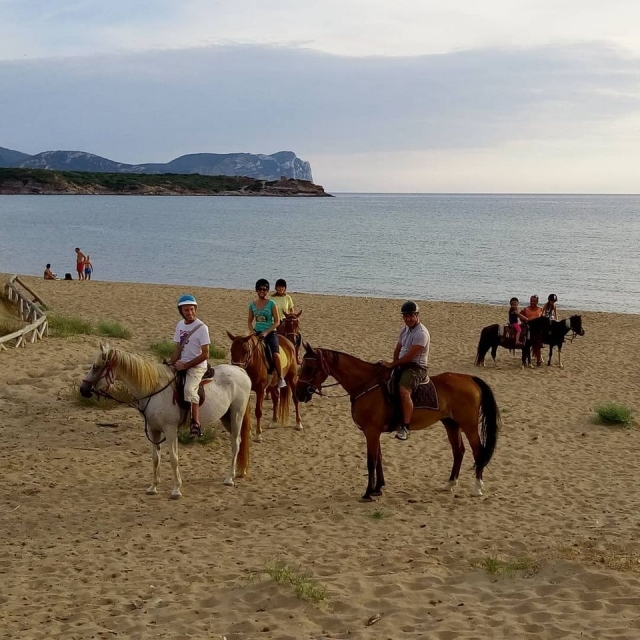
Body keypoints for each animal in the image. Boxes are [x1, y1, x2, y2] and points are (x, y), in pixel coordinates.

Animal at [80, 343, 252, 498]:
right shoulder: (153, 430)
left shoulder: (170, 430)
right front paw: (153, 487)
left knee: (236, 443)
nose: (83, 390)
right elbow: (156, 457)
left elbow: (173, 458)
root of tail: (240, 370)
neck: (153, 389)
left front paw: (176, 489)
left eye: (96, 367)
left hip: (236, 415)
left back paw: (229, 478)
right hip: (226, 418)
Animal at [296, 344, 500, 501]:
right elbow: (378, 459)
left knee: (478, 451)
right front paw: (378, 488)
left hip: (469, 426)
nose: (299, 393)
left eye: (309, 368)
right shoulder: (373, 432)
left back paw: (477, 487)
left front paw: (368, 493)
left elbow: (371, 461)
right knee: (458, 452)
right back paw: (450, 484)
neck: (366, 384)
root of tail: (470, 379)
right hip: (451, 424)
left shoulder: (371, 431)